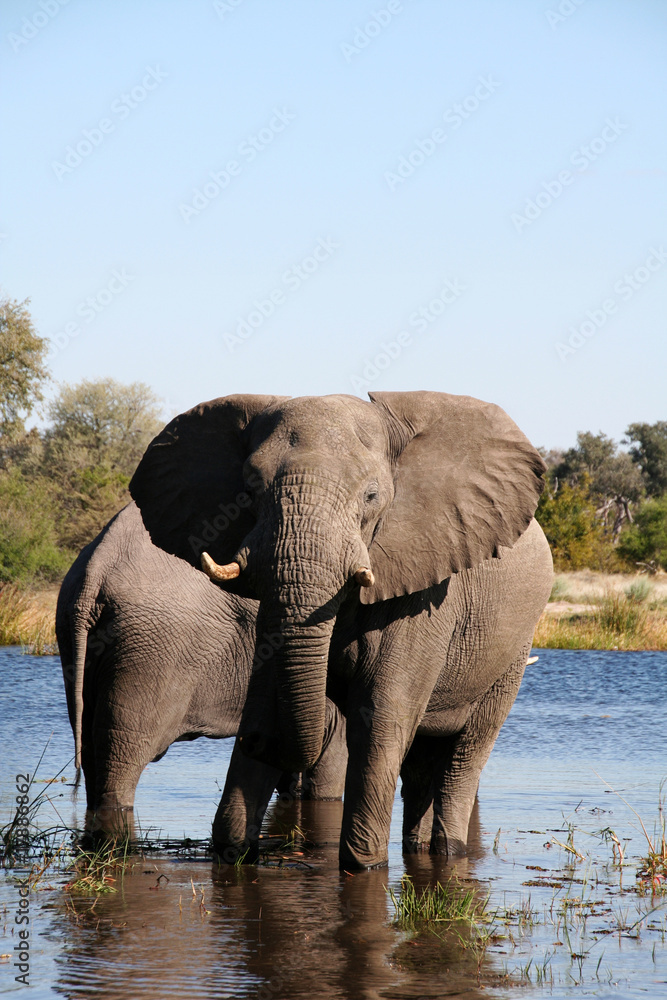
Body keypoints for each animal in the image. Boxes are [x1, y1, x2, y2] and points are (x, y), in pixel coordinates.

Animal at [129, 390, 553, 870]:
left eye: (371, 495)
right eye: (249, 490)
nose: (255, 740)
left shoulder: (423, 598)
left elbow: (380, 716)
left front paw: (363, 864)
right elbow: (267, 692)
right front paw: (233, 850)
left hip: (512, 653)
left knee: (463, 759)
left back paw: (448, 850)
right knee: (422, 766)